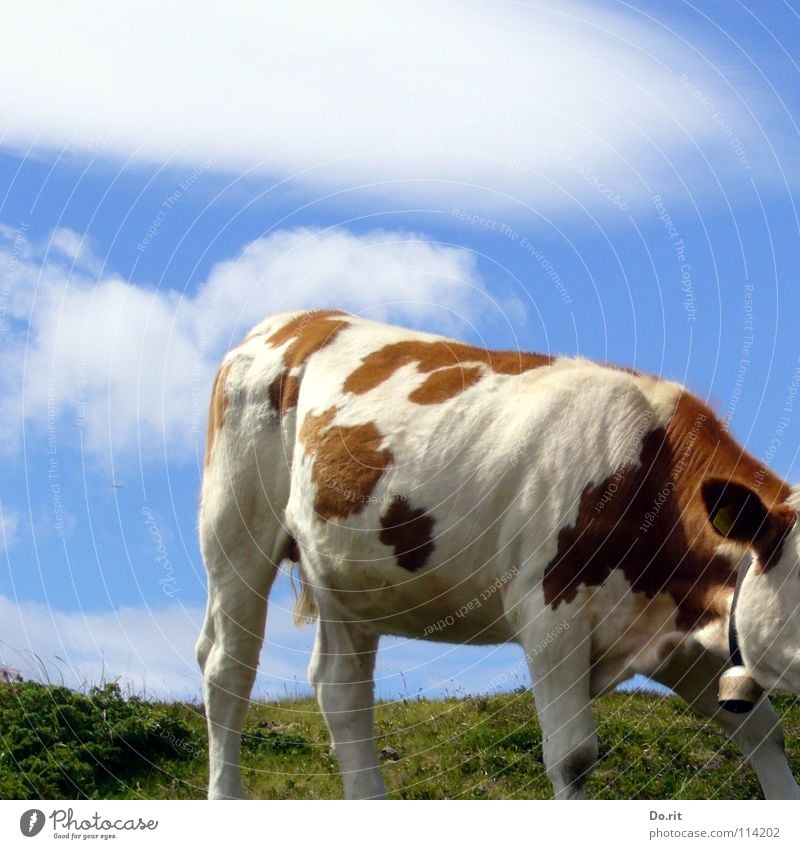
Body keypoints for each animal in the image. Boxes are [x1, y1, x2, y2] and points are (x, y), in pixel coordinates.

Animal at [197, 308, 800, 800]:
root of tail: (299, 321)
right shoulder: (550, 611)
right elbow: (573, 758)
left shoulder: (673, 631)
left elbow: (761, 732)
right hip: (236, 533)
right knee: (228, 670)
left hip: (346, 576)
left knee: (340, 689)